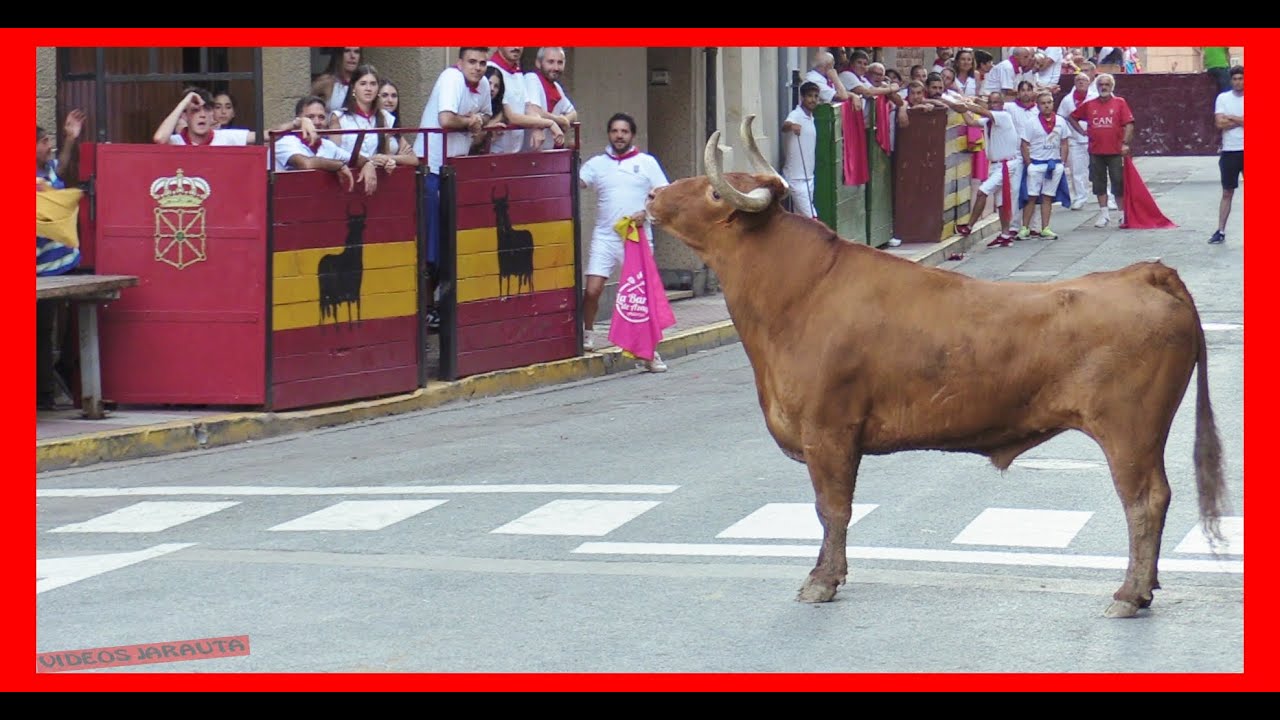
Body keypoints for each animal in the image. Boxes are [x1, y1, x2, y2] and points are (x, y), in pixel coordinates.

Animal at [643, 115, 1229, 619]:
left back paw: (1128, 594)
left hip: (1130, 430)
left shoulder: (829, 429)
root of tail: (1143, 273)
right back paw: (1145, 589)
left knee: (1145, 501)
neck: (800, 291)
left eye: (713, 191)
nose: (650, 195)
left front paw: (822, 581)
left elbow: (832, 508)